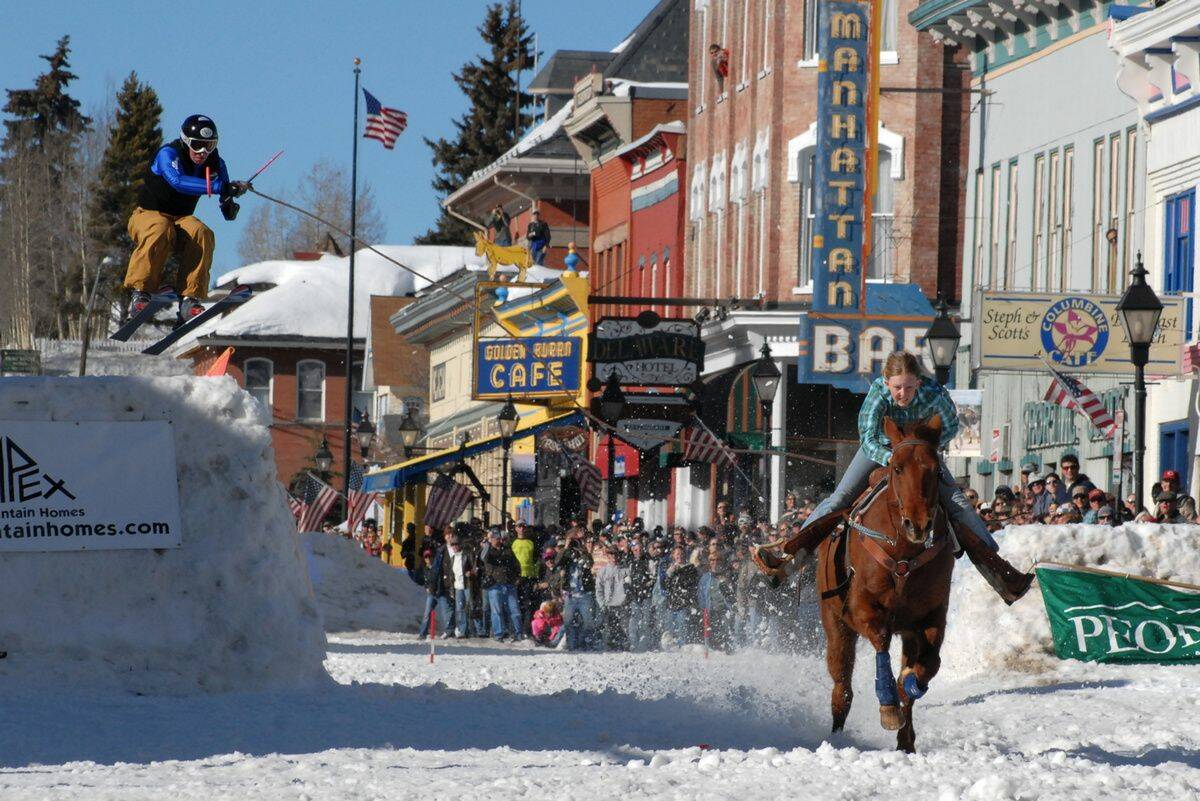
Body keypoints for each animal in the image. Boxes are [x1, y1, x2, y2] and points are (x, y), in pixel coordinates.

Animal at [816, 417, 955, 753]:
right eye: (897, 468)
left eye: (936, 469)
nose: (917, 525)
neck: (904, 554)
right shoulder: (862, 607)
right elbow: (880, 639)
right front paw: (889, 705)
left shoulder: (931, 617)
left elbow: (927, 665)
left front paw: (909, 686)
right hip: (835, 623)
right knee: (842, 686)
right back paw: (837, 736)